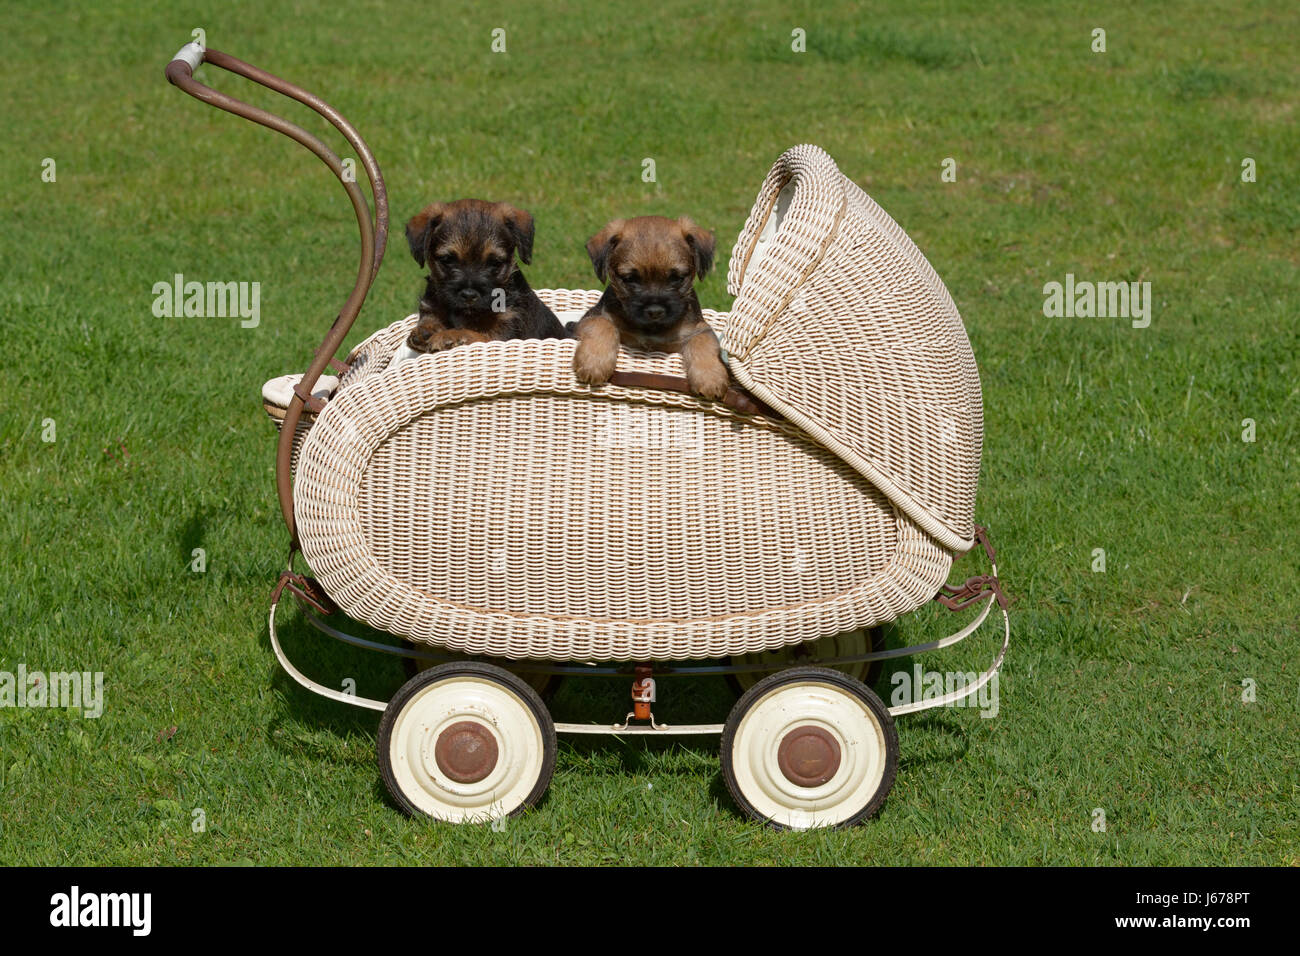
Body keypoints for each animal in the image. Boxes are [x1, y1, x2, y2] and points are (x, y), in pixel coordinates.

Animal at [403, 200, 566, 353]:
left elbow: (474, 335)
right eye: (447, 259)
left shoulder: (503, 334)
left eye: (495, 262)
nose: (469, 295)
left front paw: (450, 336)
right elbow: (430, 318)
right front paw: (425, 332)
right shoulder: (431, 306)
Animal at [572, 215, 733, 400]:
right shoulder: (592, 316)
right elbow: (601, 324)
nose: (655, 311)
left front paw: (710, 377)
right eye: (630, 278)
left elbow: (704, 341)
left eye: (677, 278)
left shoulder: (697, 329)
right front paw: (594, 362)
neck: (651, 330)